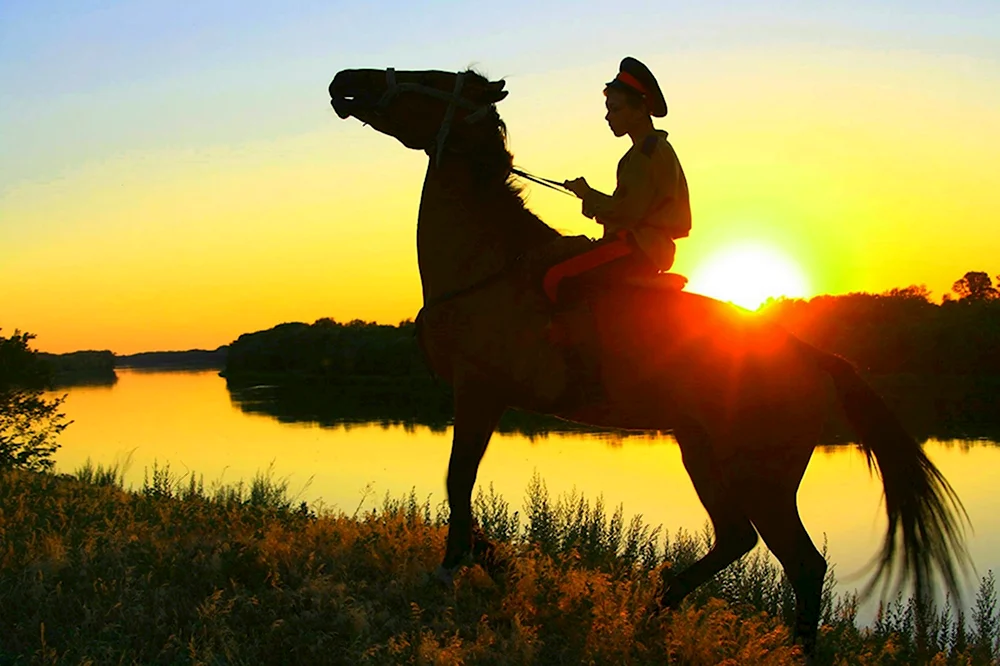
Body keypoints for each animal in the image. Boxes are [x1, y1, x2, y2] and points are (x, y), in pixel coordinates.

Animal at [330, 67, 968, 652]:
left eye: (431, 80)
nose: (344, 81)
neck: (489, 263)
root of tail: (812, 355)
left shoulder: (480, 392)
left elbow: (457, 483)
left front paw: (460, 565)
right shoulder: (479, 397)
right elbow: (459, 488)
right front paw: (493, 562)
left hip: (762, 476)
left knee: (803, 563)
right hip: (701, 450)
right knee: (736, 538)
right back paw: (656, 607)